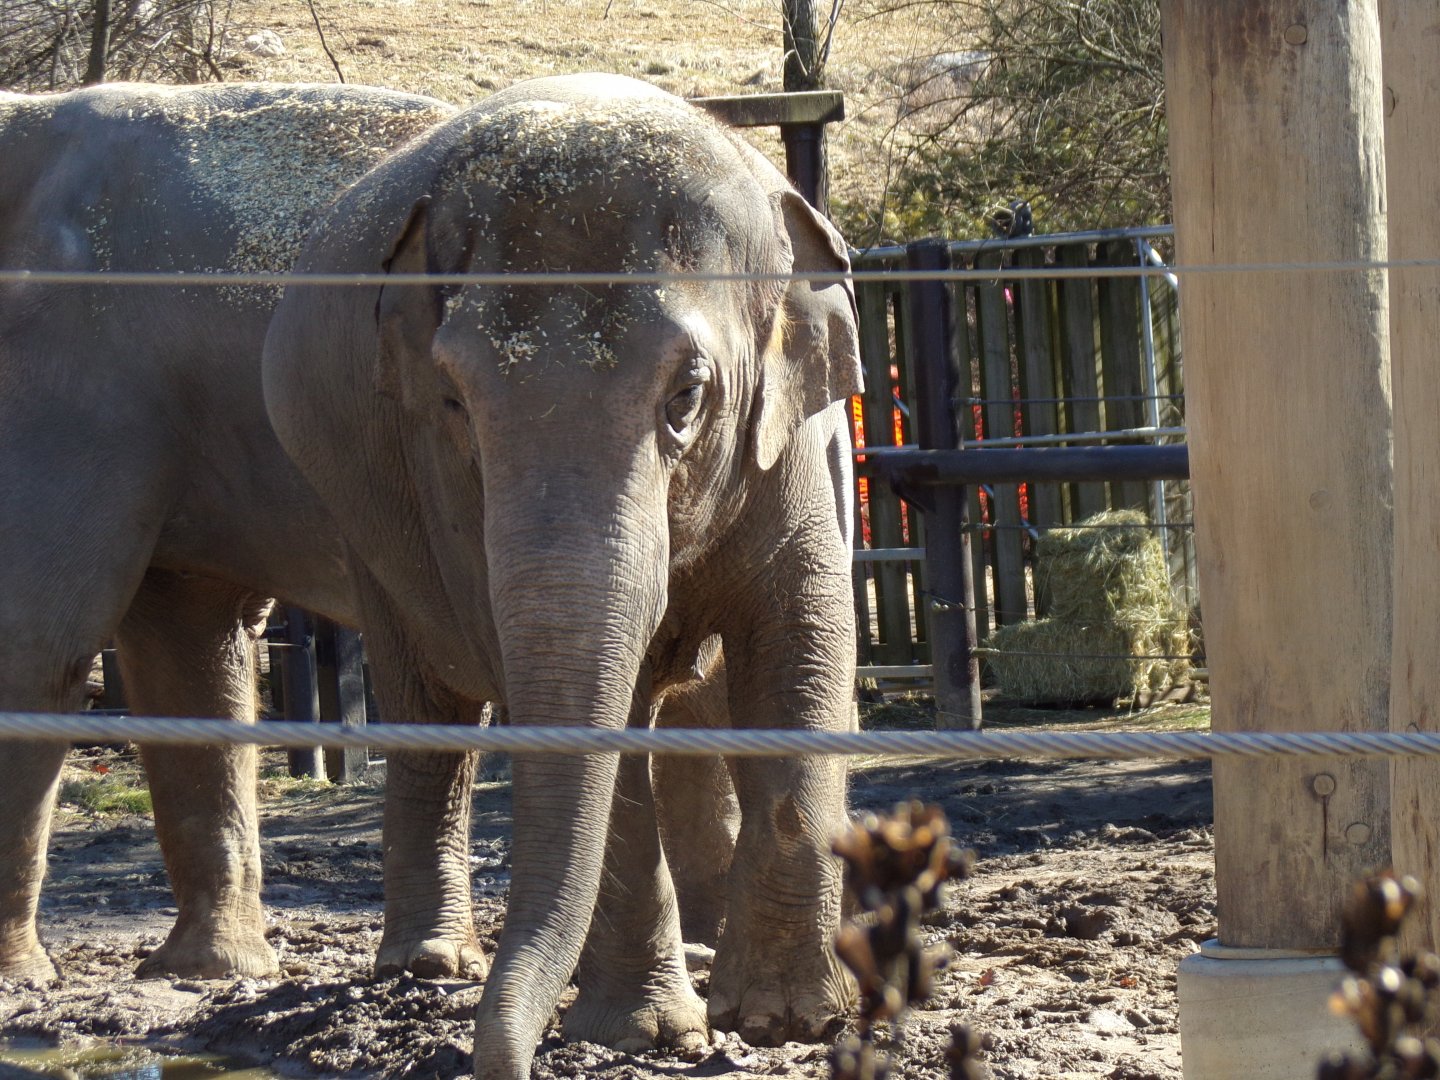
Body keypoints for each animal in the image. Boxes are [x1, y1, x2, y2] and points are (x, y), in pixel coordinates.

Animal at [262, 73, 864, 1079]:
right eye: (454, 402)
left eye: (688, 397)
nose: (504, 1058)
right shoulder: (447, 498)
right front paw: (644, 1031)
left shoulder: (789, 443)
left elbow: (803, 641)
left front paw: (785, 1021)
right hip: (367, 528)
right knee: (429, 702)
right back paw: (431, 964)